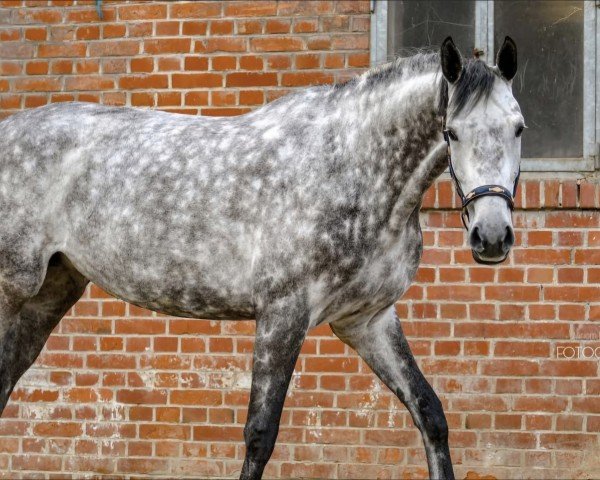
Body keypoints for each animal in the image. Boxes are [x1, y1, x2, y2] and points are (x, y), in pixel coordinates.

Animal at [0, 38, 520, 480]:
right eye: (451, 132)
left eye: (519, 128)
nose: (492, 236)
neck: (352, 166)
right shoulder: (282, 315)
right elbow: (260, 435)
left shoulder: (367, 320)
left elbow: (430, 413)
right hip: (11, 294)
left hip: (49, 294)